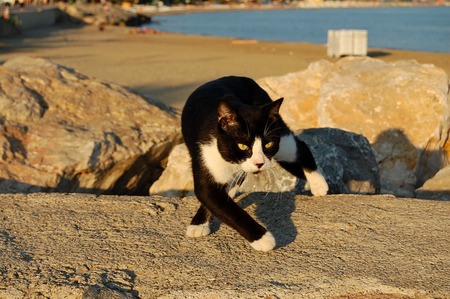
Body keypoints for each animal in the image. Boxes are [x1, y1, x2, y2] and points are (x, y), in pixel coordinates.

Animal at [181, 76, 328, 252]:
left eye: (268, 144)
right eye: (243, 146)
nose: (260, 163)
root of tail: (242, 77)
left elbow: (227, 208)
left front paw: (262, 239)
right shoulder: (205, 156)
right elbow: (221, 204)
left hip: (279, 131)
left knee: (300, 147)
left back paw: (318, 184)